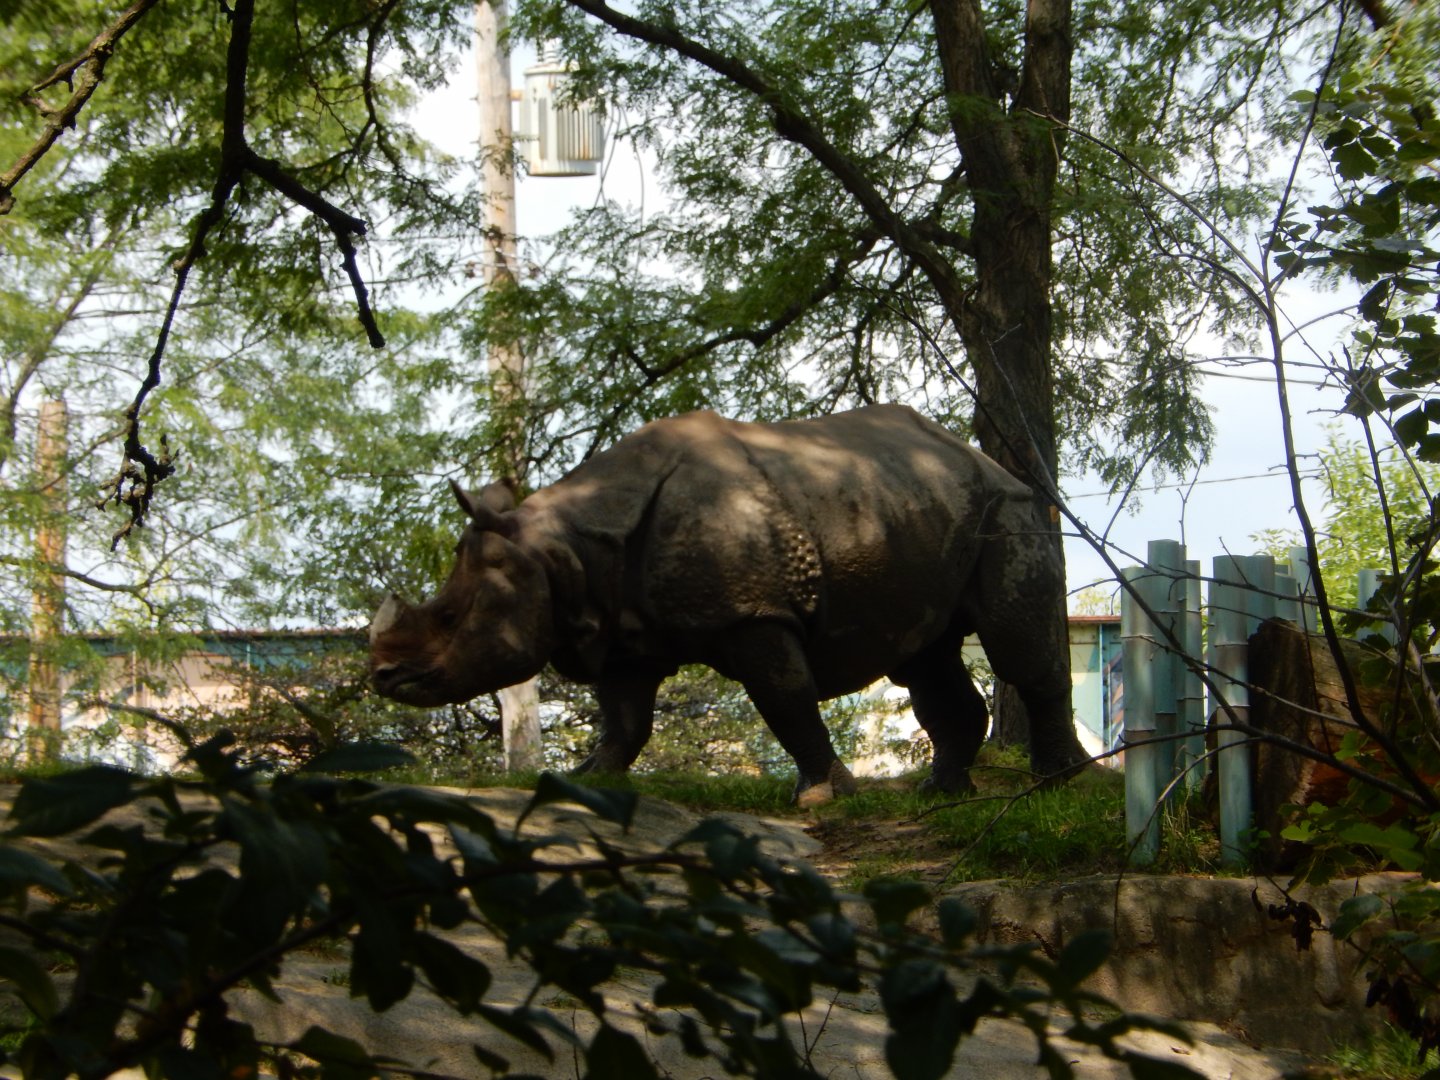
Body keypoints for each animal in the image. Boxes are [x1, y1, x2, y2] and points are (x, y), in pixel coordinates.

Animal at [370, 404, 1089, 802]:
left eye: (450, 618)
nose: (383, 676)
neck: (560, 548)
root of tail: (979, 458)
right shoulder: (622, 629)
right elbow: (624, 718)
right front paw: (586, 778)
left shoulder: (754, 614)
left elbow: (786, 700)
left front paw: (821, 798)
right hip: (911, 505)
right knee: (922, 656)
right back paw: (939, 792)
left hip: (1008, 509)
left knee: (1013, 645)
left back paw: (1055, 783)